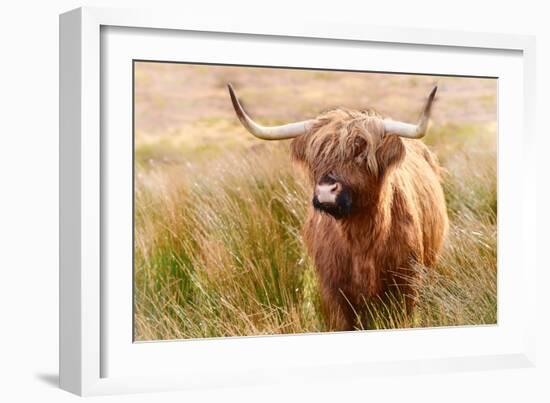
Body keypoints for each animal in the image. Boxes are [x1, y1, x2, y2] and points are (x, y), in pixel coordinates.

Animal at [227, 83, 448, 332]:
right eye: (316, 155)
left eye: (360, 152)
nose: (326, 191)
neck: (361, 237)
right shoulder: (333, 291)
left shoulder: (406, 285)